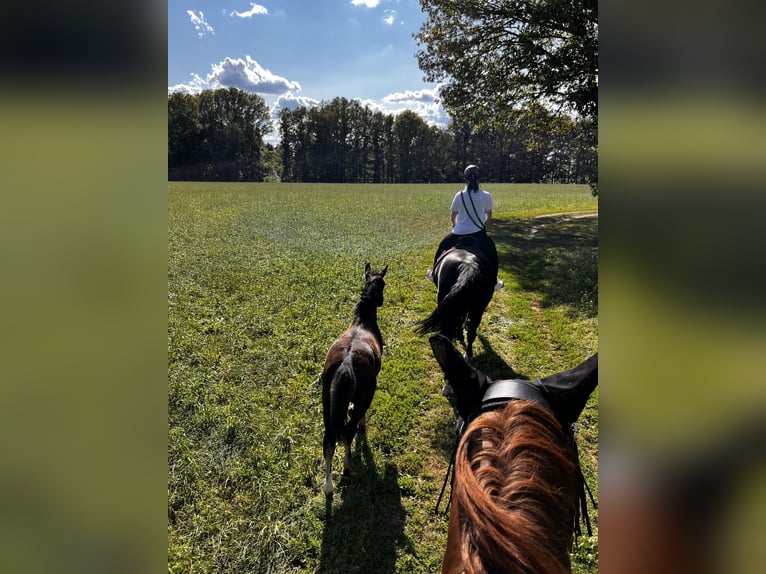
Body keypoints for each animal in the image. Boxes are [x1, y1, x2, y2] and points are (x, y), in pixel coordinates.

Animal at [320, 264, 388, 498]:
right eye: (383, 283)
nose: (381, 301)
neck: (362, 323)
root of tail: (347, 363)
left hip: (327, 402)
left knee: (329, 440)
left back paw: (328, 486)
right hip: (364, 397)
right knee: (348, 432)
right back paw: (347, 469)